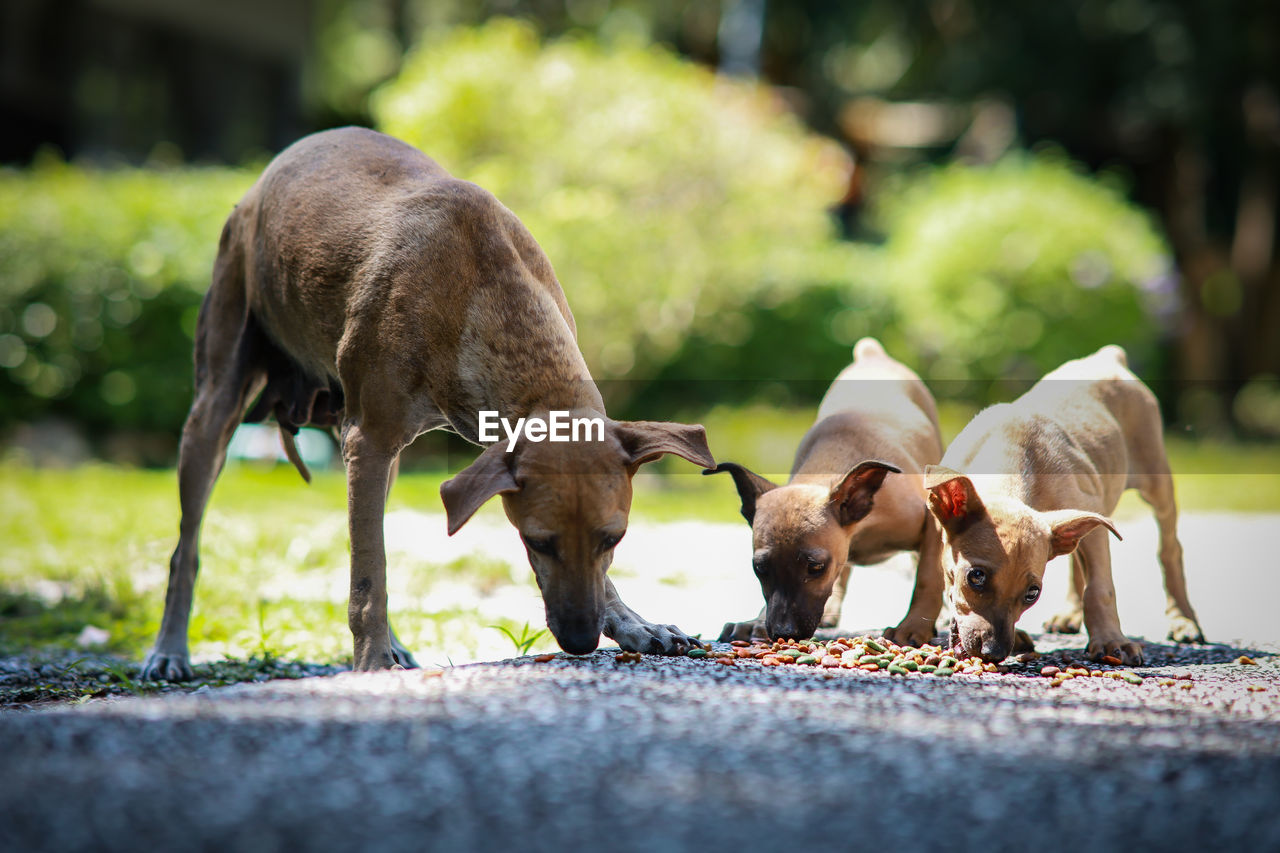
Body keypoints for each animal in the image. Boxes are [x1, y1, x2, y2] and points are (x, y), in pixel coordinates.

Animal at [146, 124, 721, 676]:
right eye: (537, 542)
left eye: (613, 540)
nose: (580, 643)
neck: (483, 295)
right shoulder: (368, 440)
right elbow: (368, 579)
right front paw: (371, 661)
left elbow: (371, 560)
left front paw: (632, 623)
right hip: (216, 403)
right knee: (188, 548)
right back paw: (170, 649)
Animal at [706, 335, 947, 640]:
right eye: (760, 569)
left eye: (815, 568)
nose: (784, 632)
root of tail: (872, 356)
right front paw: (755, 622)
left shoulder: (931, 522)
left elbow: (928, 576)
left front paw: (913, 626)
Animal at [926, 345, 1203, 666]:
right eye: (976, 576)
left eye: (1033, 593)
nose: (993, 653)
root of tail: (1109, 356)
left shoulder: (1097, 527)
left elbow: (1100, 589)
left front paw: (1112, 641)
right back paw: (1069, 615)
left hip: (1156, 482)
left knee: (1170, 549)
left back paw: (1184, 621)